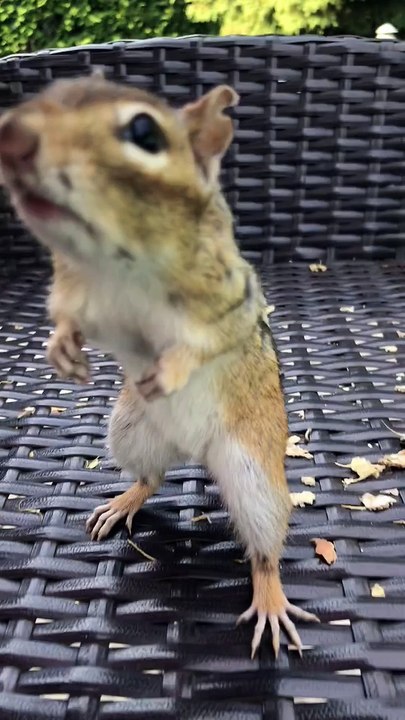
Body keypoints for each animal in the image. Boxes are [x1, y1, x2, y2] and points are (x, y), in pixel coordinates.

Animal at [0, 75, 319, 658]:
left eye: (144, 131)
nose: (12, 138)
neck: (120, 262)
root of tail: (195, 451)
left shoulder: (232, 299)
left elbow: (207, 340)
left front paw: (170, 371)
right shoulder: (75, 291)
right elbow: (66, 318)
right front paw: (62, 350)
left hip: (253, 478)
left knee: (264, 551)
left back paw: (270, 599)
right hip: (129, 430)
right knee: (150, 476)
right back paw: (124, 500)